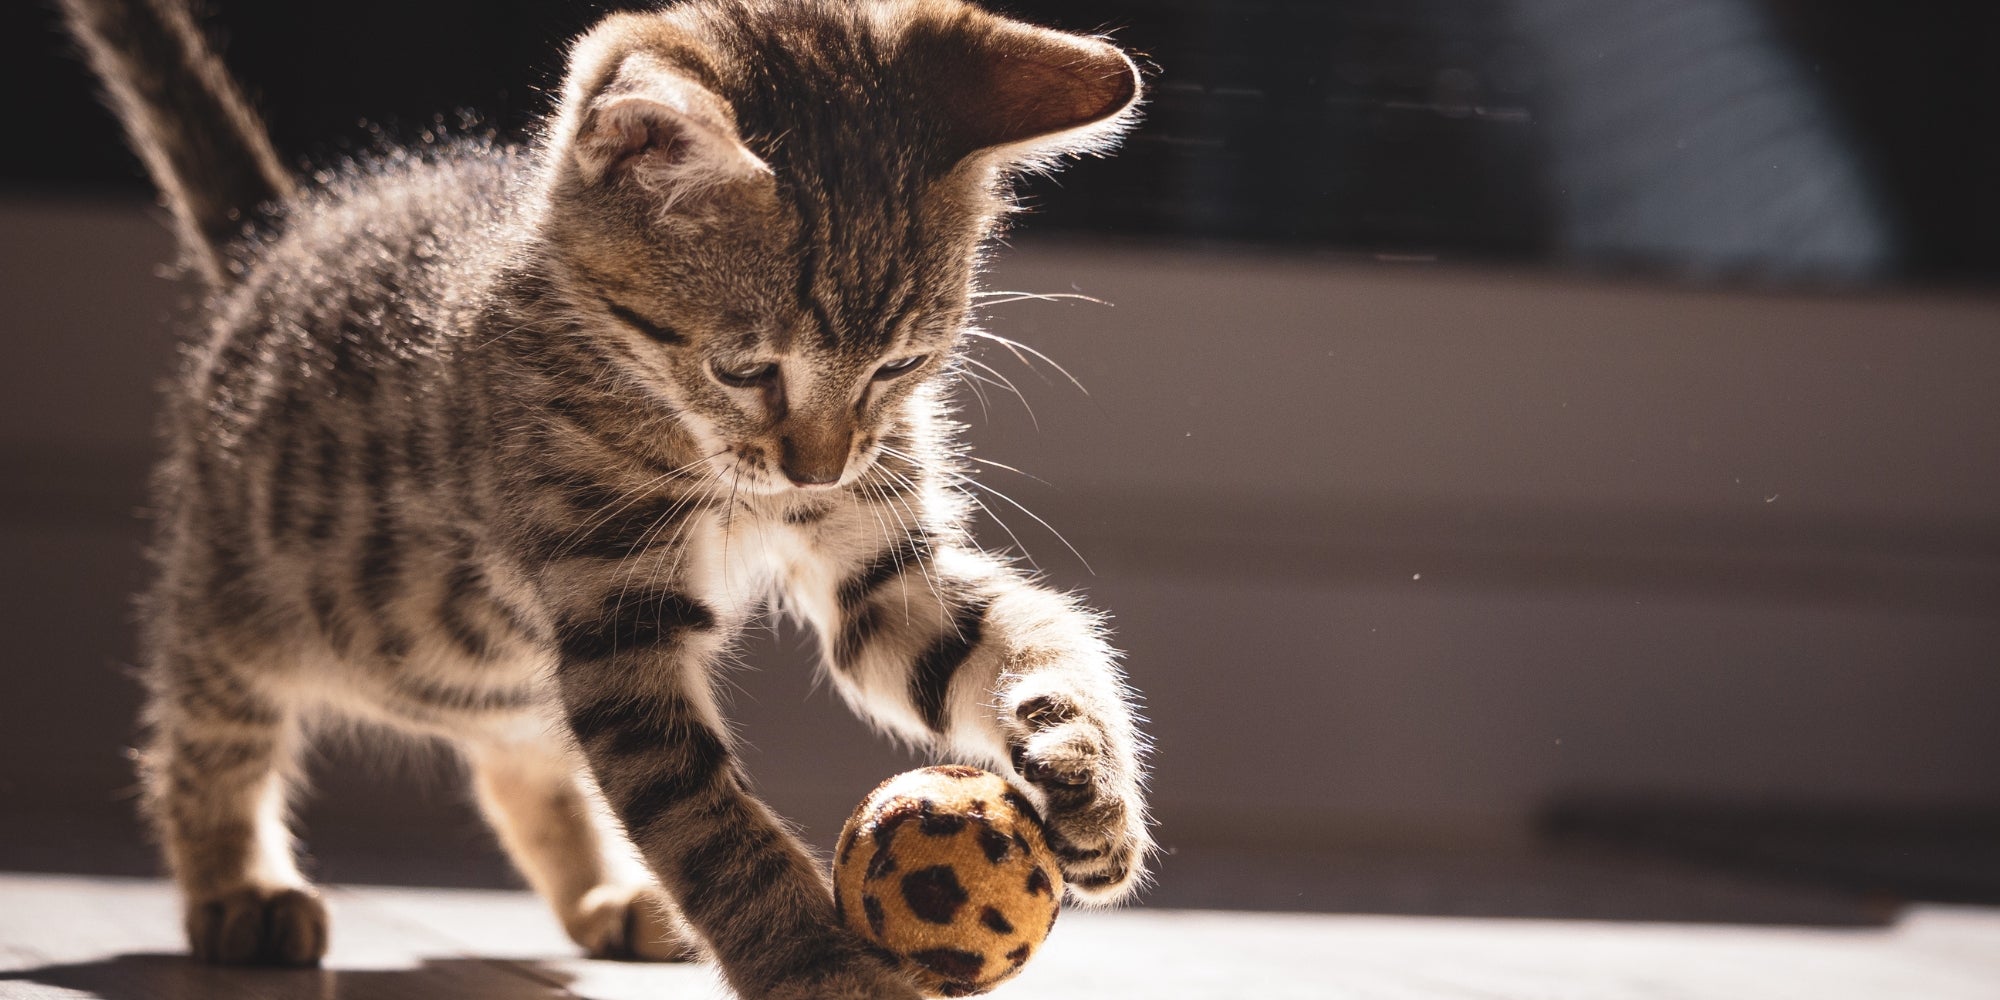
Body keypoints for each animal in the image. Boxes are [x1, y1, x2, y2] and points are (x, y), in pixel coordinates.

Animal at [62, 0, 1152, 996]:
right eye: (746, 369)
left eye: (899, 365)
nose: (818, 469)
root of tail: (280, 245)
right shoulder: (615, 617)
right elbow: (703, 820)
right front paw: (817, 966)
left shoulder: (879, 573)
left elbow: (1015, 635)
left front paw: (1085, 773)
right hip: (244, 600)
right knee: (204, 733)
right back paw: (237, 887)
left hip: (495, 669)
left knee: (520, 758)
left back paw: (609, 896)